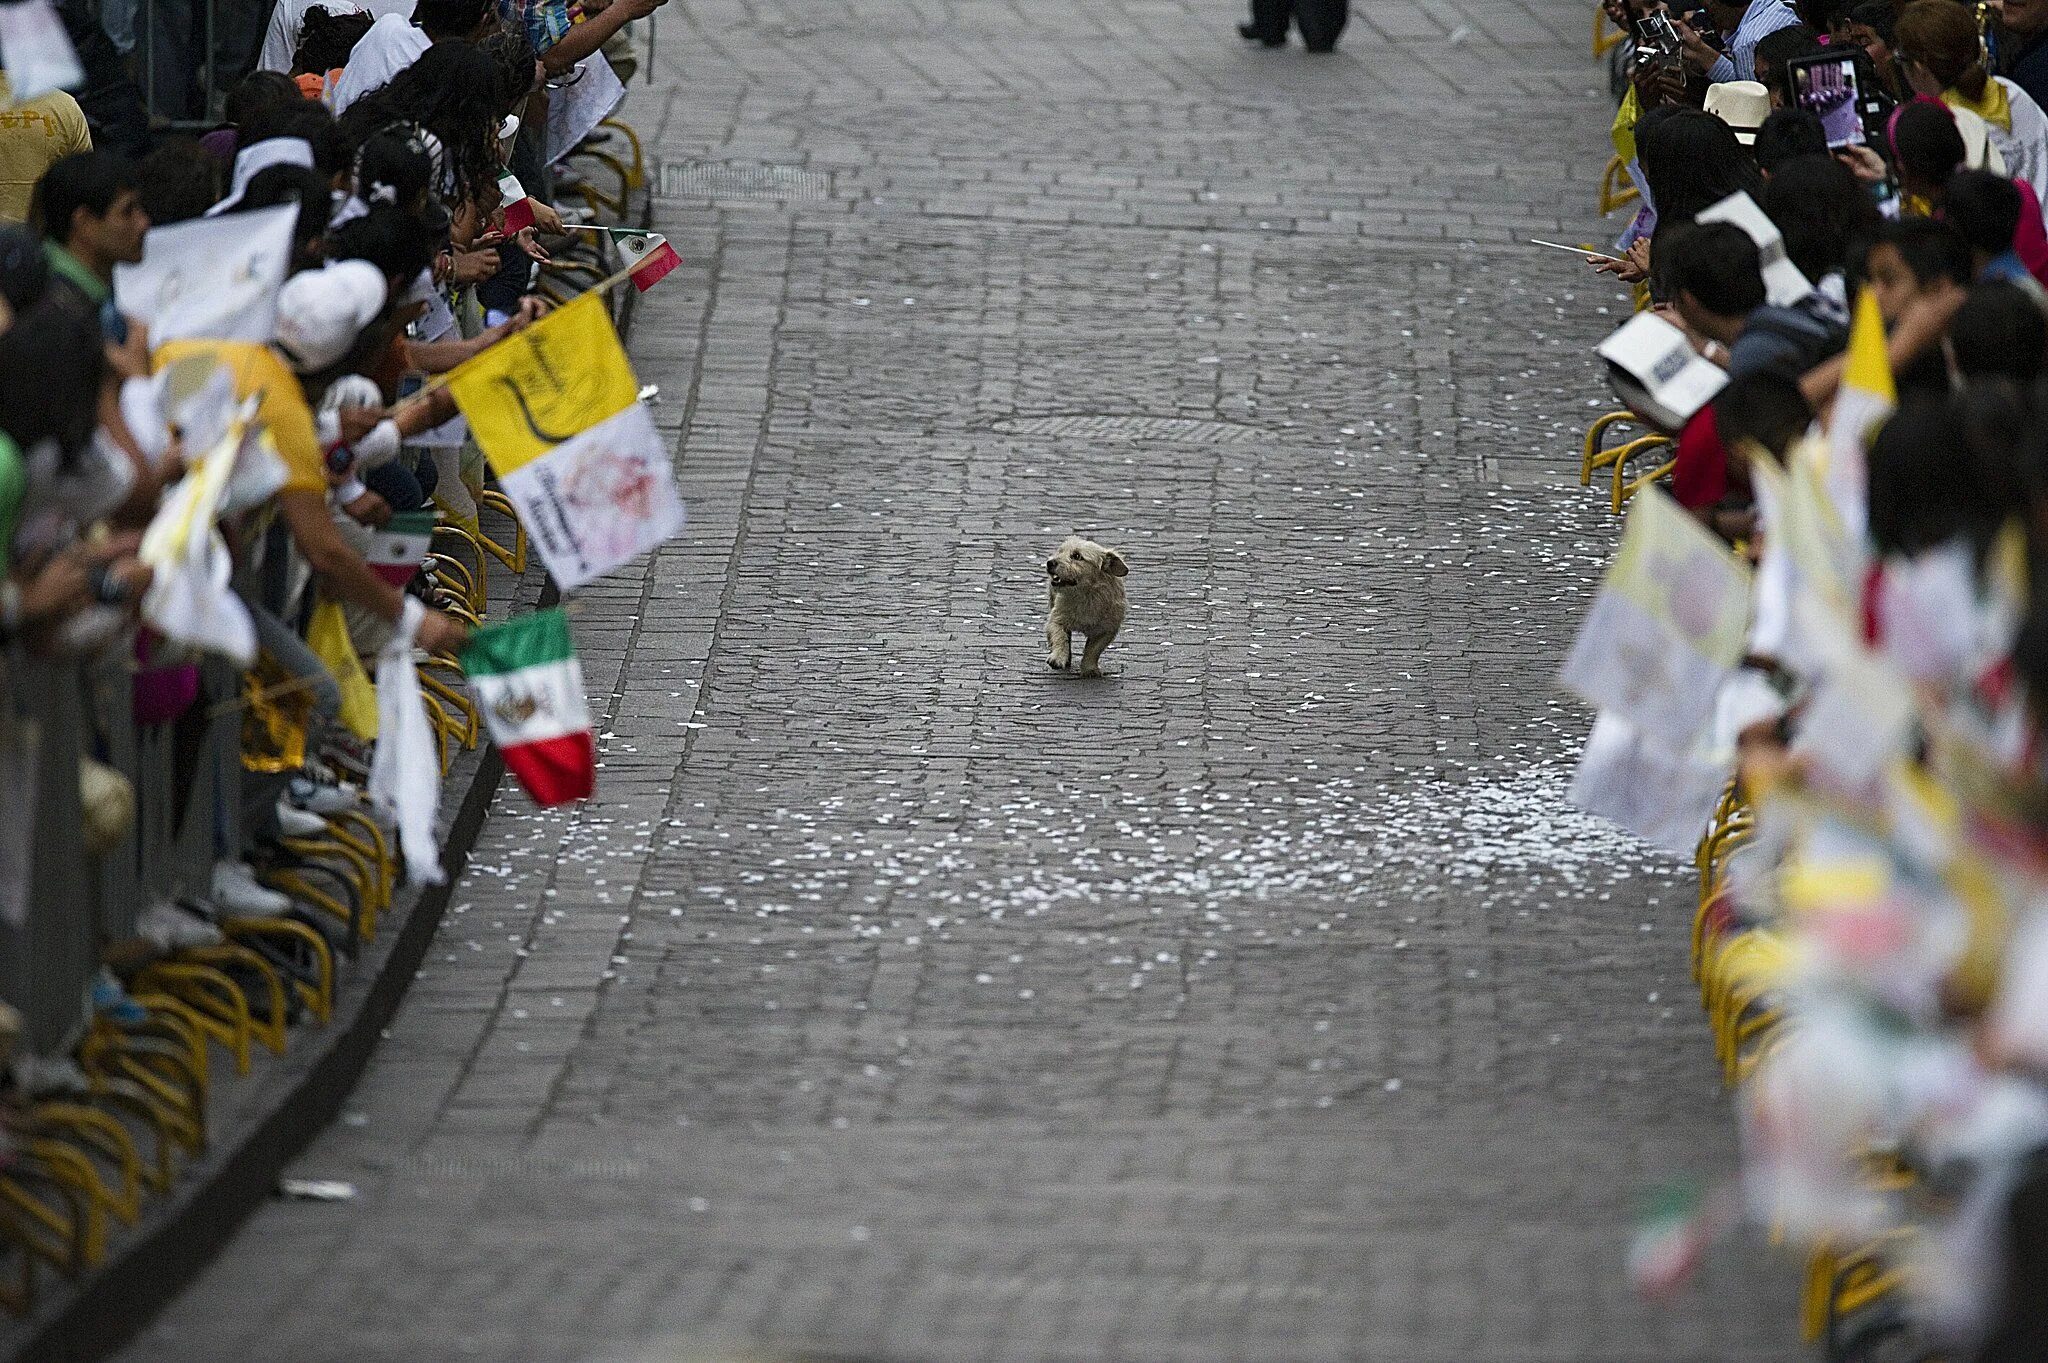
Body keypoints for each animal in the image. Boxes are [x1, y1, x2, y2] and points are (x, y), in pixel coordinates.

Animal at [1048, 536, 1130, 675]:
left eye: (1076, 556)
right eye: (1060, 552)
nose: (1050, 562)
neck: (1086, 595)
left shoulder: (1107, 630)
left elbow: (1093, 650)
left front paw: (1089, 669)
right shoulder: (1056, 619)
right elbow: (1060, 637)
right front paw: (1058, 657)